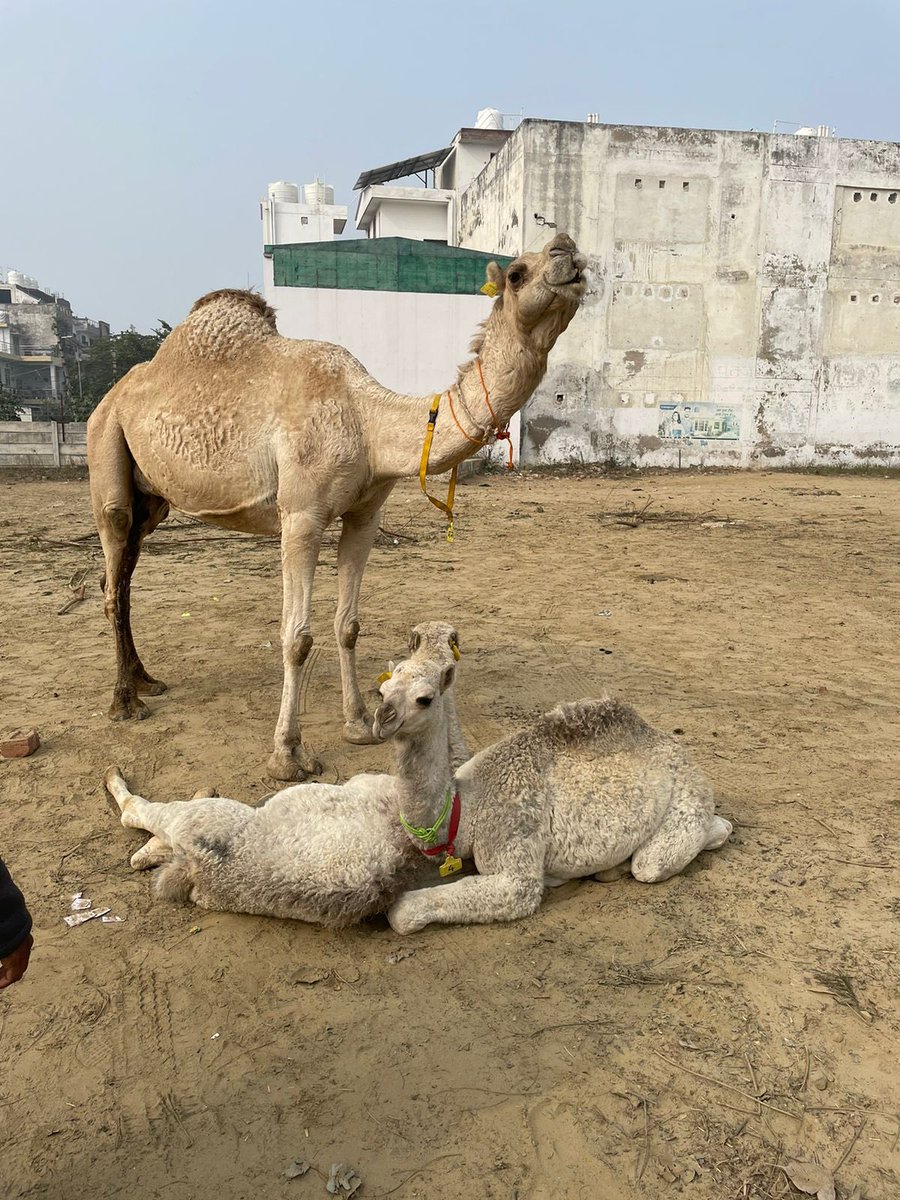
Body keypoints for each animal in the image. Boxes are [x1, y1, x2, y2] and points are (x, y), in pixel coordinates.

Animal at [86, 234, 587, 780]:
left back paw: (146, 680)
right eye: (517, 273)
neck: (368, 423)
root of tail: (110, 395)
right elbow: (296, 638)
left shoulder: (364, 516)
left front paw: (359, 724)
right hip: (105, 447)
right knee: (113, 562)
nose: (568, 253)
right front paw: (287, 754)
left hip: (153, 500)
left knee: (123, 578)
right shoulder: (300, 516)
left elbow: (348, 625)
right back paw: (125, 702)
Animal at [104, 622, 467, 928]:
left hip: (200, 820)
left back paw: (123, 776)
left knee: (139, 822)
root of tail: (197, 869)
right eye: (383, 689)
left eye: (425, 698)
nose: (383, 718)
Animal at [374, 653, 733, 934]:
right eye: (381, 691)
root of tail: (675, 745)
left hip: (687, 793)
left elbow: (403, 914)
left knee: (663, 857)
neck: (465, 810)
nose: (382, 718)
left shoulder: (516, 853)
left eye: (425, 698)